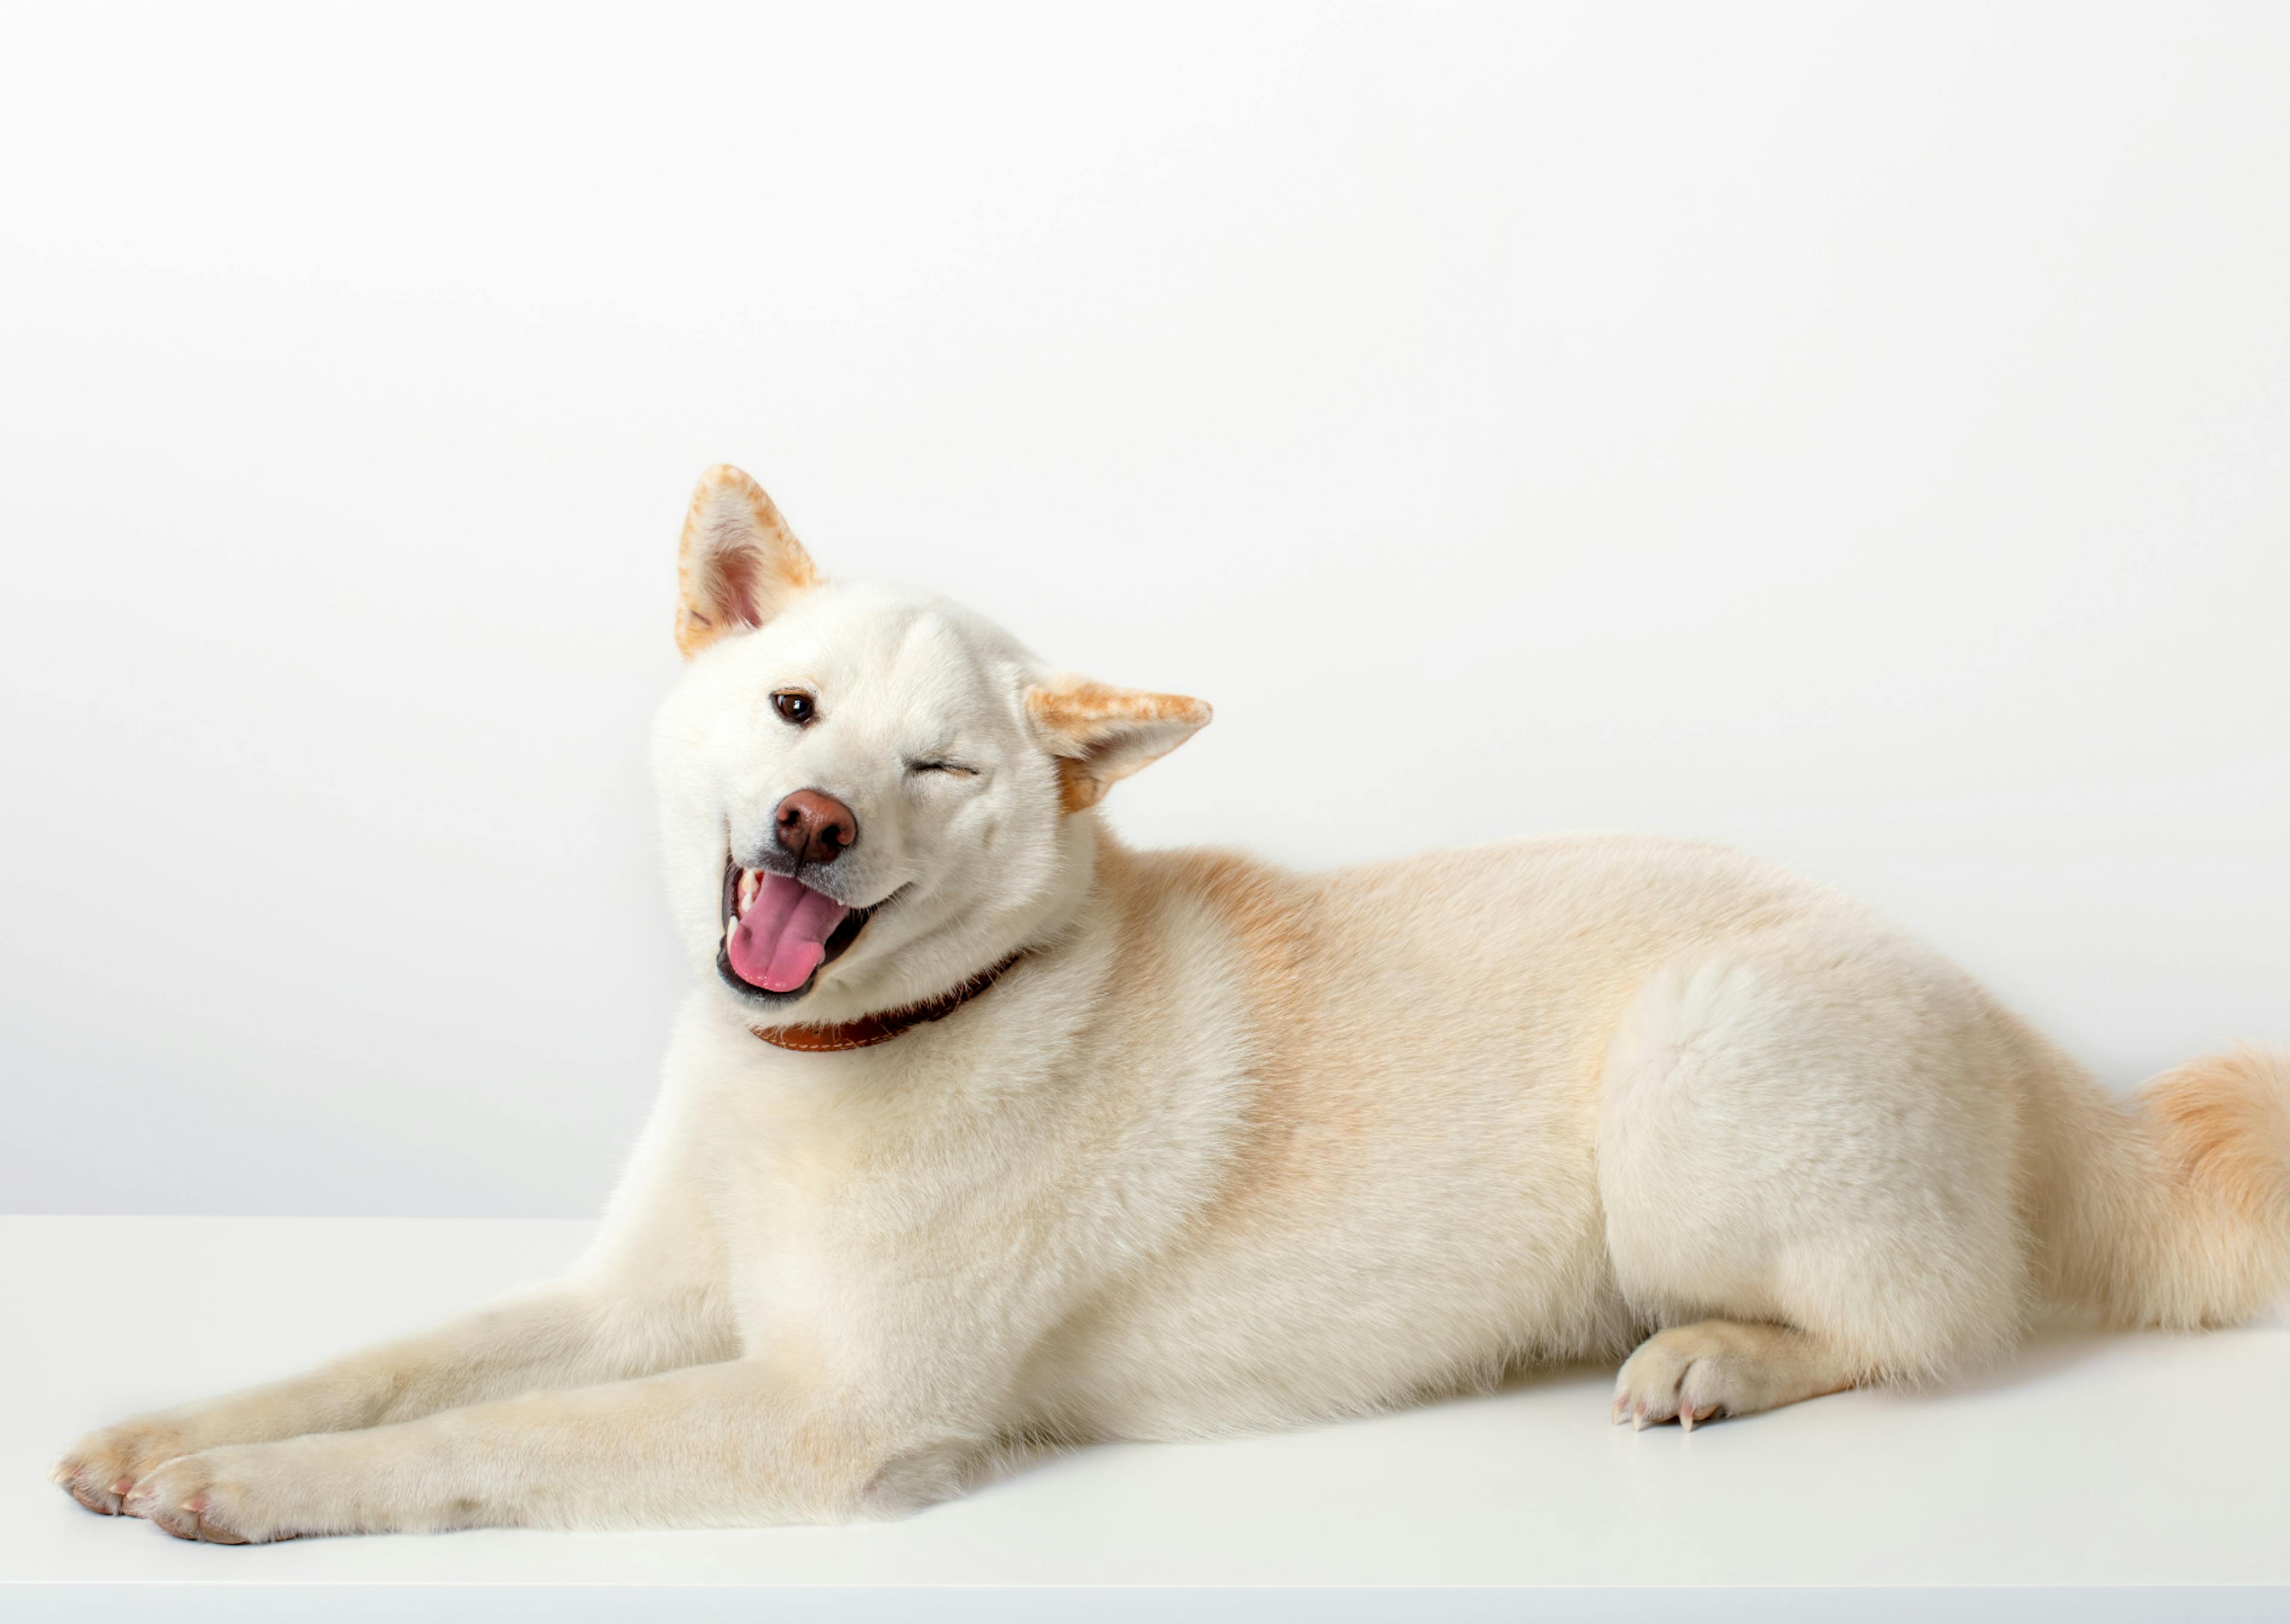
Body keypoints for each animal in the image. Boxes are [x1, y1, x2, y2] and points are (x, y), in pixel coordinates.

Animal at [54, 464, 2290, 1530]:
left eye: (940, 766)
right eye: (792, 711)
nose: (809, 824)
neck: (858, 1053)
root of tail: (2032, 1045)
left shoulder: (825, 1412)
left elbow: (476, 1445)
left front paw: (243, 1497)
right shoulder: (626, 1302)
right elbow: (394, 1366)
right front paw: (165, 1433)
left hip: (1695, 1064)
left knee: (1927, 1325)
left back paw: (1715, 1358)